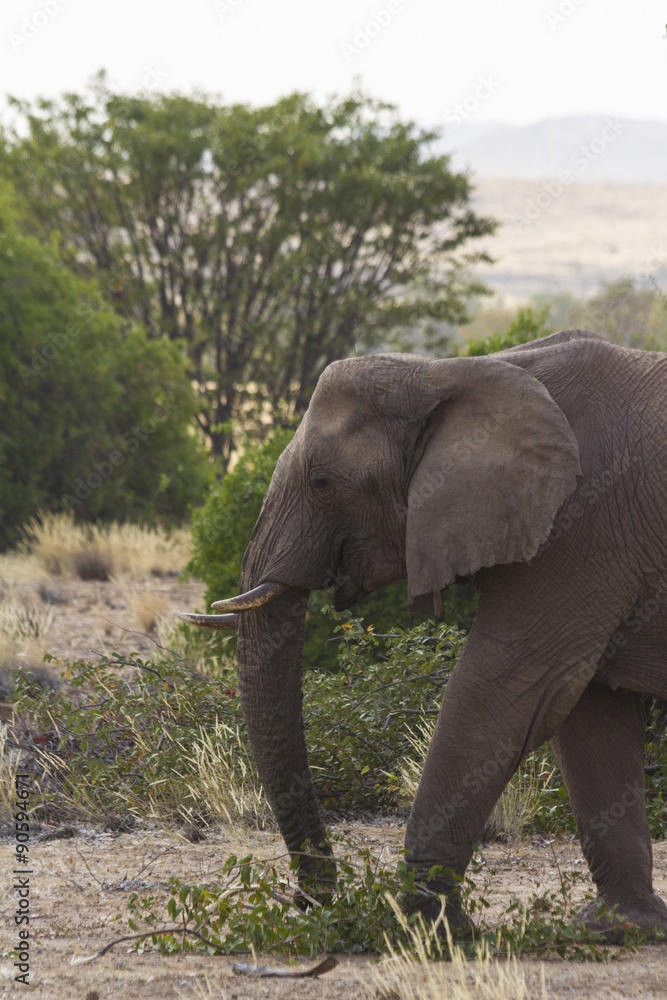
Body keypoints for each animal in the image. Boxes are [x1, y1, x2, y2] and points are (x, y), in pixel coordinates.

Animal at [179, 328, 667, 939]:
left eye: (321, 482)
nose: (311, 901)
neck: (452, 372)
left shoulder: (581, 527)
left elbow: (503, 691)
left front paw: (423, 928)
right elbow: (592, 716)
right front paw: (619, 927)